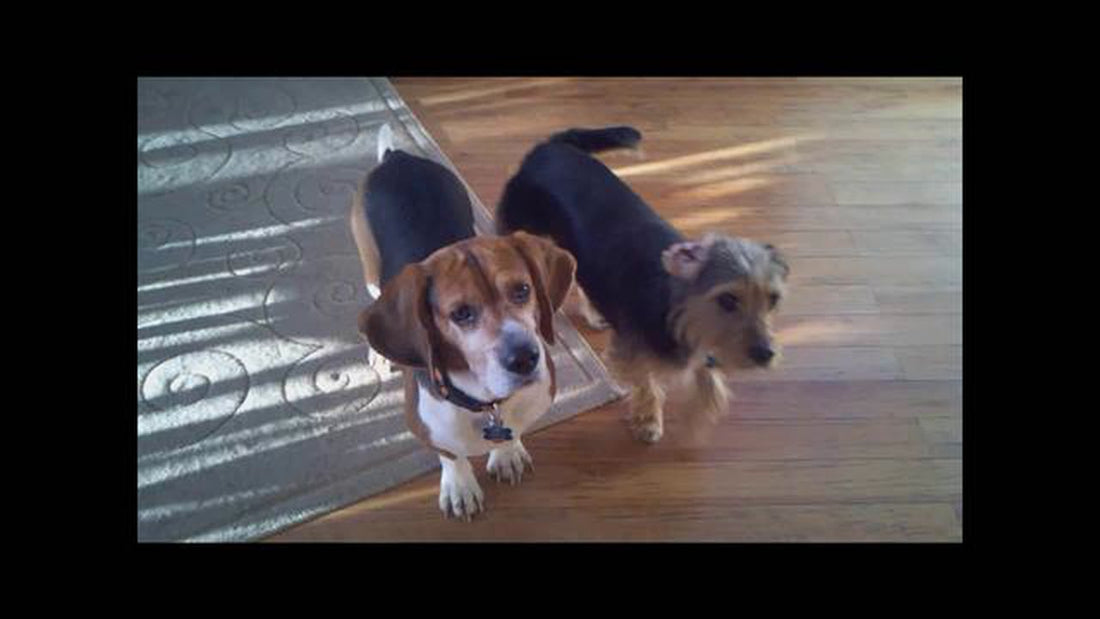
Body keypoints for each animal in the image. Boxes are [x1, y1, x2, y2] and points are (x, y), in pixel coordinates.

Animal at [499, 128, 792, 444]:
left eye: (773, 300)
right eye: (727, 299)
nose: (766, 354)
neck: (674, 304)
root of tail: (547, 147)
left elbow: (708, 382)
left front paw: (699, 415)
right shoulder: (629, 352)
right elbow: (645, 383)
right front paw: (648, 421)